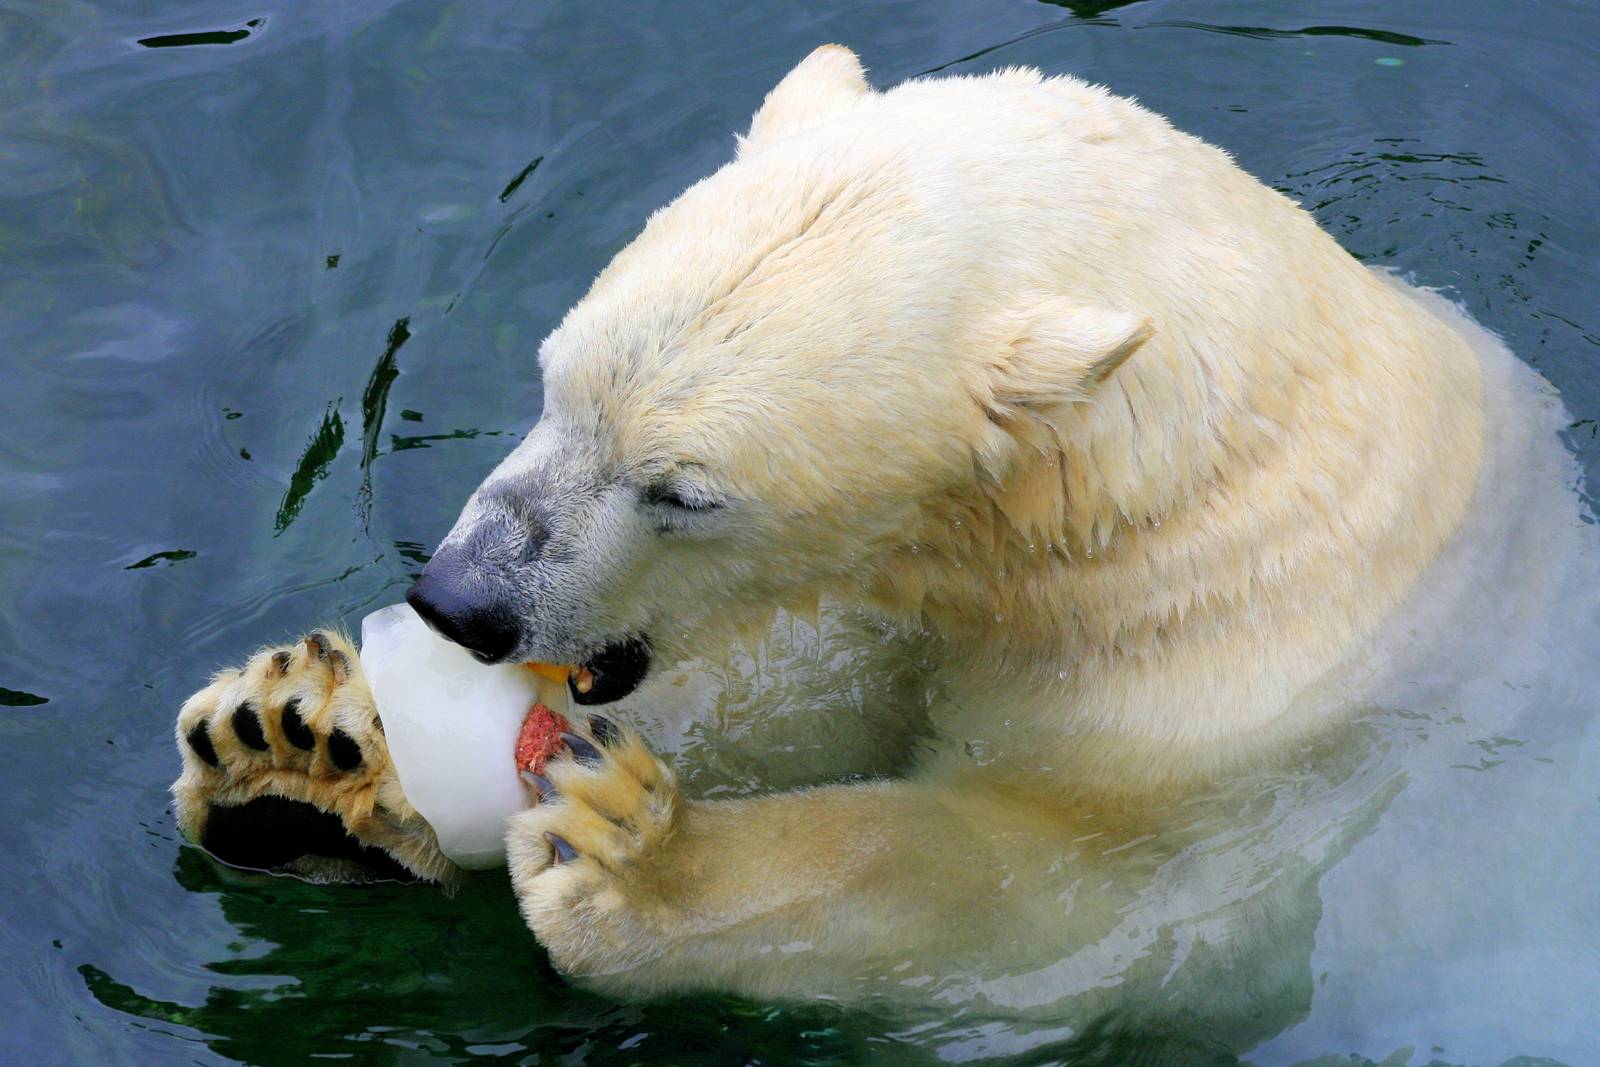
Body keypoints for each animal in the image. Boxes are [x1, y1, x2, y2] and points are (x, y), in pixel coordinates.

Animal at [172, 44, 1489, 1004]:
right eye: (552, 382)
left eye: (681, 491)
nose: (461, 597)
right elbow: (793, 689)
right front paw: (303, 738)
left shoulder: (1228, 697)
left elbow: (1038, 891)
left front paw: (633, 853)